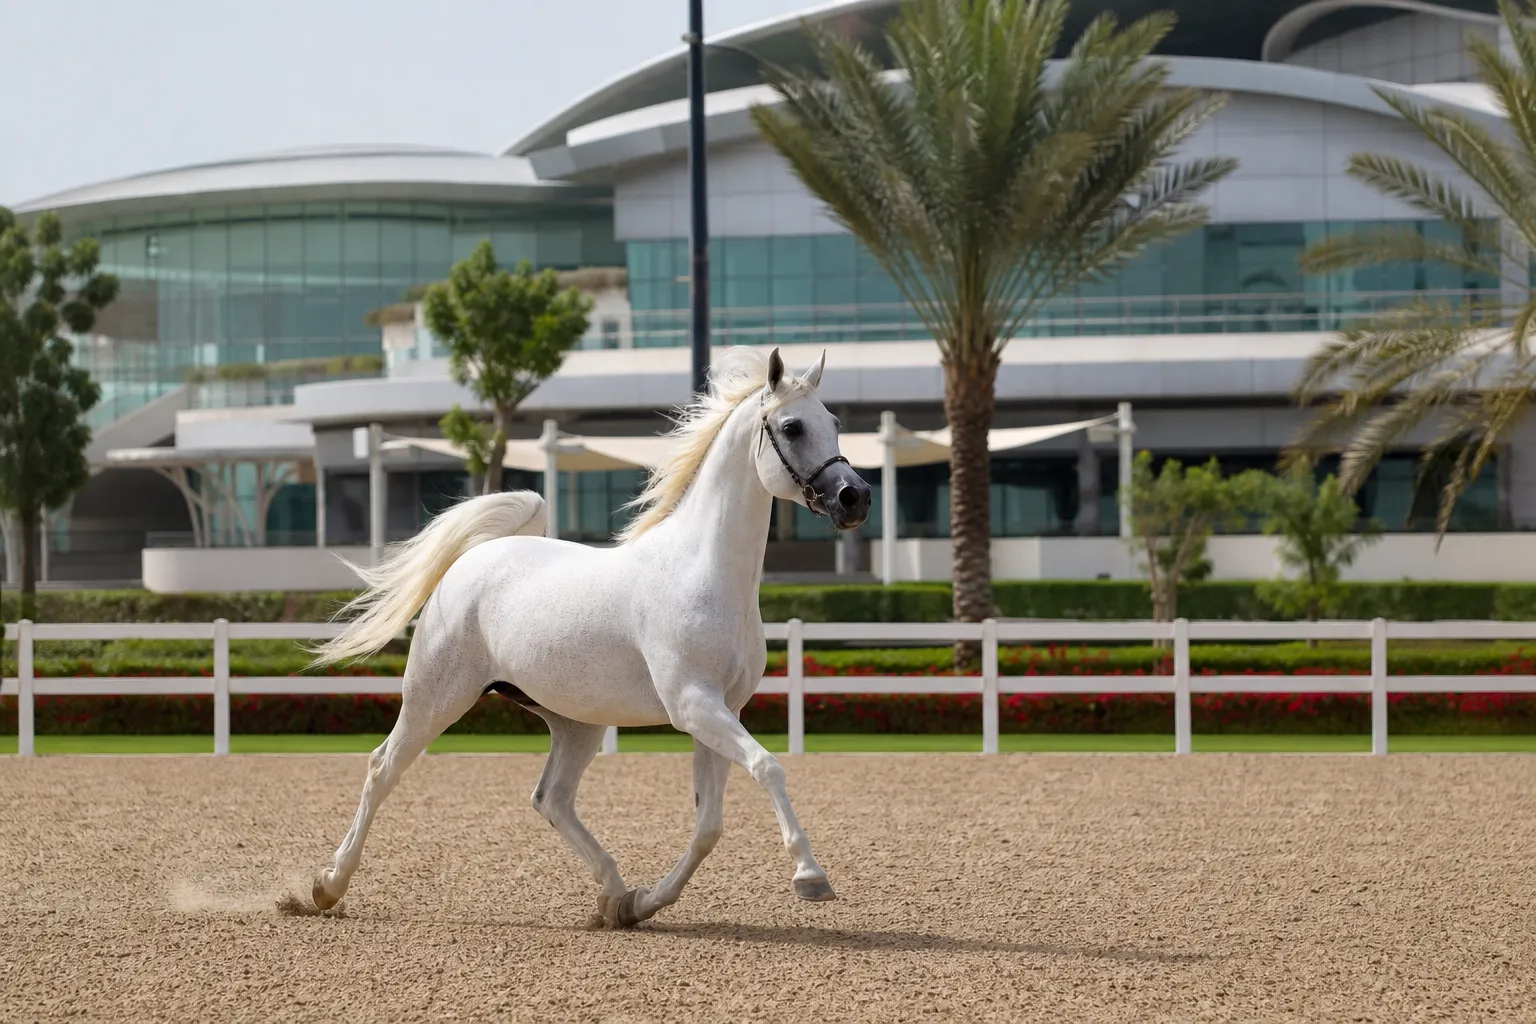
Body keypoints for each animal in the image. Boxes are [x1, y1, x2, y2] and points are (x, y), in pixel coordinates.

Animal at [304, 346, 872, 928]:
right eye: (793, 426)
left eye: (834, 422)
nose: (856, 497)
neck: (702, 571)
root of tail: (476, 557)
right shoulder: (693, 704)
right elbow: (769, 767)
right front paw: (810, 876)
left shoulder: (722, 710)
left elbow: (709, 826)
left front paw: (644, 903)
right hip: (435, 697)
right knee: (383, 768)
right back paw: (327, 886)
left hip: (577, 722)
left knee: (550, 798)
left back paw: (615, 894)